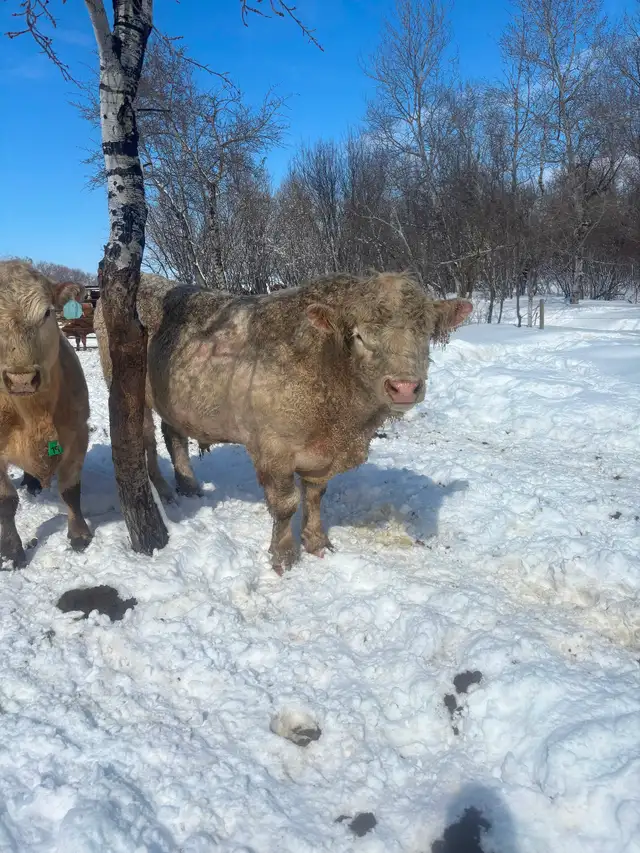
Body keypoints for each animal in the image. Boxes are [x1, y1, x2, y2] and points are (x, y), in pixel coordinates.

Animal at [0, 261, 93, 568]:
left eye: (47, 313)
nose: (21, 379)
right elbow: (6, 502)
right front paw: (13, 552)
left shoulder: (78, 433)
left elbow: (70, 490)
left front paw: (79, 534)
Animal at [95, 271, 471, 573]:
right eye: (359, 336)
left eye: (426, 333)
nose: (404, 387)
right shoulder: (273, 447)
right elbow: (286, 505)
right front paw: (284, 556)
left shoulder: (321, 454)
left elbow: (316, 495)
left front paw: (317, 542)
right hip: (127, 386)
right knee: (143, 438)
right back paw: (163, 490)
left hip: (176, 399)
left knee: (173, 433)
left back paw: (189, 486)